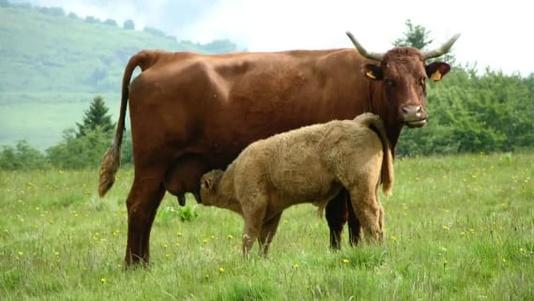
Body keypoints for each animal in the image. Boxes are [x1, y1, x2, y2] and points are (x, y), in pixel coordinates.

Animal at [201, 113, 394, 255]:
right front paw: (262, 258)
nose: (200, 197)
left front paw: (246, 259)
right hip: (371, 189)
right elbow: (265, 238)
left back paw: (374, 247)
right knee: (379, 213)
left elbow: (249, 236)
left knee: (369, 214)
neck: (232, 177)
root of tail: (360, 123)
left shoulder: (254, 208)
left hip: (359, 189)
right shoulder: (272, 212)